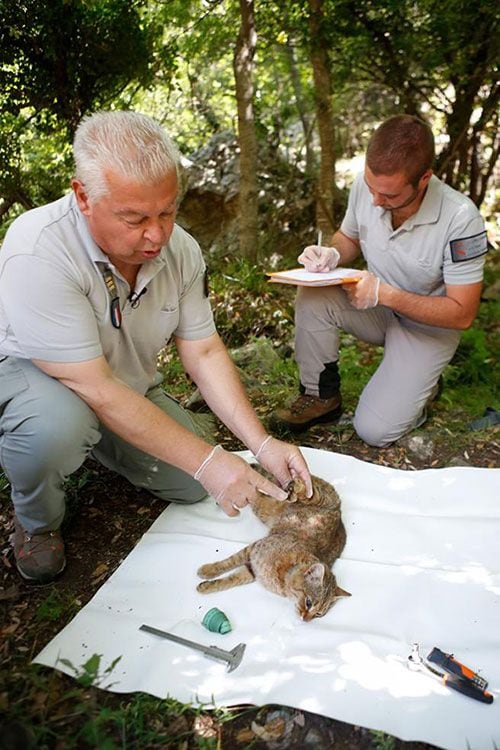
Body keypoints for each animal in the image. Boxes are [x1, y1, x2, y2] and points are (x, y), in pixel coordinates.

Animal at [197, 470, 350, 624]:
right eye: (308, 602)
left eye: (319, 614)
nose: (305, 620)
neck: (284, 577)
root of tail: (340, 512)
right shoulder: (254, 549)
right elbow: (229, 562)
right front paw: (208, 570)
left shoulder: (252, 569)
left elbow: (231, 580)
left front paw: (207, 586)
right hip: (315, 498)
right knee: (309, 492)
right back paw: (295, 488)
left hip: (262, 508)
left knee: (257, 493)